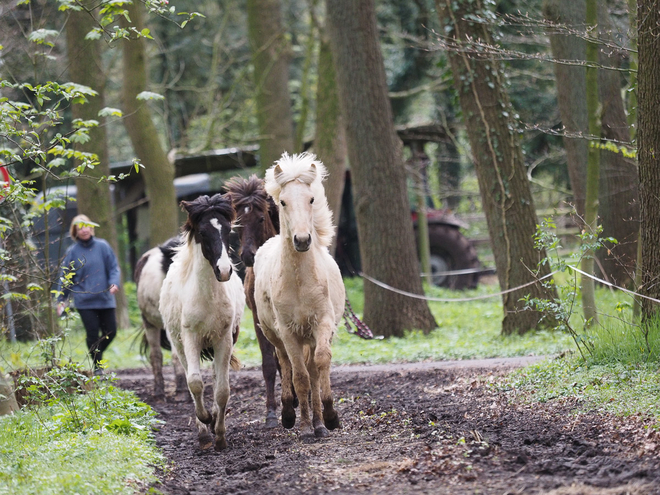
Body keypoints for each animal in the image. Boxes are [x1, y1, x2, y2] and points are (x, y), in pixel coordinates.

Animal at [160, 195, 245, 454]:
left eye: (227, 230)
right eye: (202, 231)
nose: (224, 271)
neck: (207, 297)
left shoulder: (224, 339)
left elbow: (222, 390)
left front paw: (220, 435)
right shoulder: (191, 339)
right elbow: (195, 383)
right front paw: (205, 425)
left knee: (217, 378)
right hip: (179, 345)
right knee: (191, 379)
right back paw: (203, 429)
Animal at [253, 153, 346, 440]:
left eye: (311, 199)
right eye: (283, 201)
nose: (302, 240)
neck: (299, 281)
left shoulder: (322, 323)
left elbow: (320, 363)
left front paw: (329, 418)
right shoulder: (288, 332)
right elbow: (299, 377)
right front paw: (304, 426)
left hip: (311, 336)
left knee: (313, 368)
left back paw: (318, 422)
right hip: (275, 335)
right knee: (285, 364)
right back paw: (289, 415)